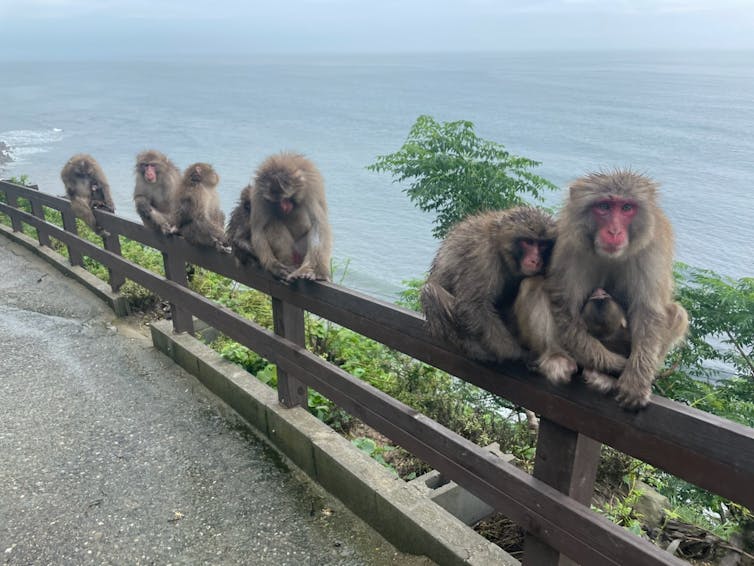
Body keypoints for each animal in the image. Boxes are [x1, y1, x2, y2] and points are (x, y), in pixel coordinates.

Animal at [249, 152, 332, 281]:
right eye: (277, 201)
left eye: (286, 198)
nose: (284, 207)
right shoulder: (259, 192)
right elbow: (259, 229)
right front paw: (274, 266)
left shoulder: (310, 188)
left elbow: (317, 225)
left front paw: (314, 271)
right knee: (271, 223)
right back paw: (287, 262)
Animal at [420, 206, 556, 364]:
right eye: (528, 242)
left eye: (542, 245)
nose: (535, 260)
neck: (500, 245)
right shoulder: (482, 254)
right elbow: (474, 306)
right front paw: (517, 354)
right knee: (430, 290)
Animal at [516, 170, 689, 409]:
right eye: (604, 207)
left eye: (626, 207)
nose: (614, 231)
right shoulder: (570, 246)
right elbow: (566, 310)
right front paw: (617, 365)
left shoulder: (653, 247)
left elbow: (649, 310)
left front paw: (635, 379)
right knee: (534, 285)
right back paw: (556, 358)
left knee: (676, 313)